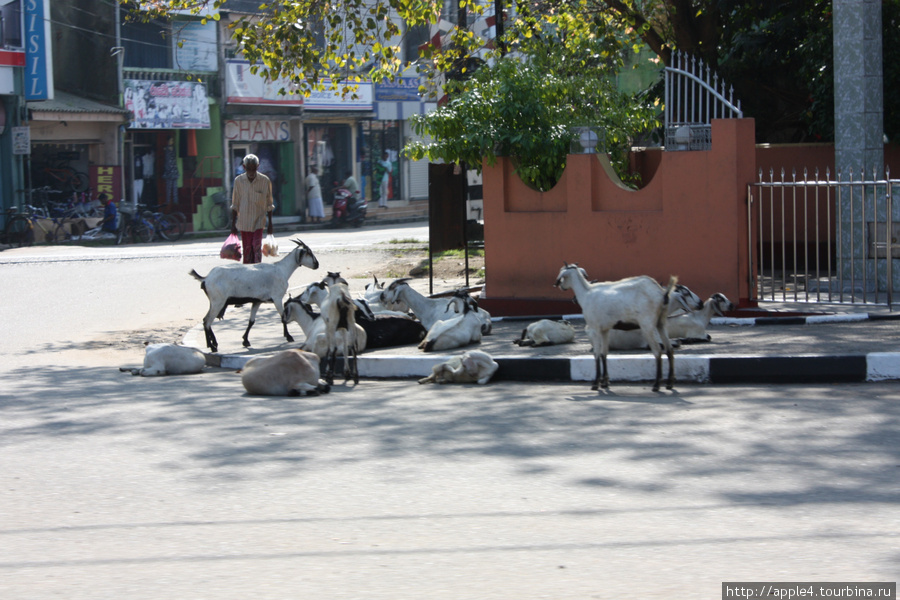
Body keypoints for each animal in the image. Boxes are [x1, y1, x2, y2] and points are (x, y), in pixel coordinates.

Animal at [188, 238, 318, 354]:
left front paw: (245, 340)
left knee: (206, 320)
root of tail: (206, 278)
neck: (281, 269)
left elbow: (251, 321)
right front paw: (289, 337)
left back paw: (212, 344)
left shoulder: (257, 301)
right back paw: (212, 346)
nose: (317, 264)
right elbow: (282, 316)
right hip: (218, 301)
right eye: (309, 252)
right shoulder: (277, 297)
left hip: (214, 302)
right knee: (207, 321)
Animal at [552, 264, 680, 394]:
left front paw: (596, 384)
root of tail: (661, 293)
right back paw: (670, 383)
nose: (561, 287)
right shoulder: (605, 330)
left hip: (647, 325)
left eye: (563, 277)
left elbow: (596, 354)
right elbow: (604, 353)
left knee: (658, 351)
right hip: (661, 323)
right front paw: (605, 382)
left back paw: (656, 385)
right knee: (669, 350)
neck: (586, 292)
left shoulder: (595, 329)